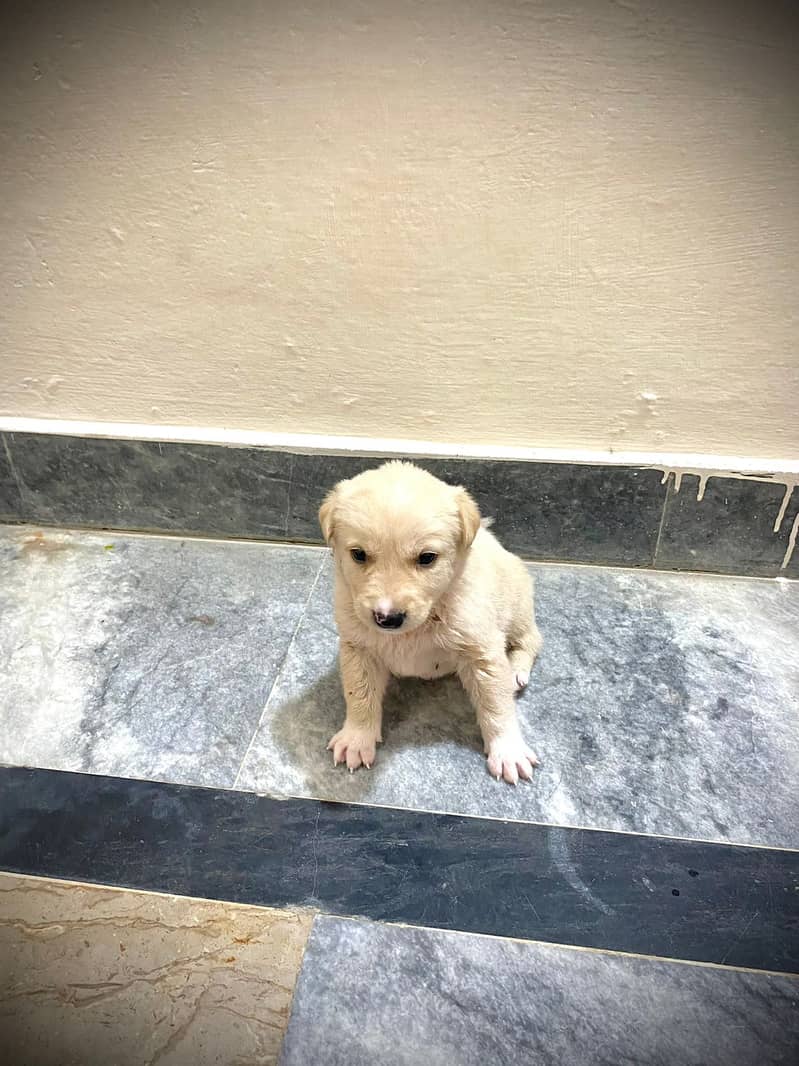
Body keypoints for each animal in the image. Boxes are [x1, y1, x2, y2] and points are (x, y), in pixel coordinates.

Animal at [319, 460, 545, 784]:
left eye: (427, 558)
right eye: (358, 554)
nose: (387, 618)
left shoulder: (481, 651)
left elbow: (496, 703)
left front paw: (508, 751)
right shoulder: (358, 647)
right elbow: (359, 694)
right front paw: (356, 739)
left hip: (518, 605)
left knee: (531, 640)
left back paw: (515, 671)